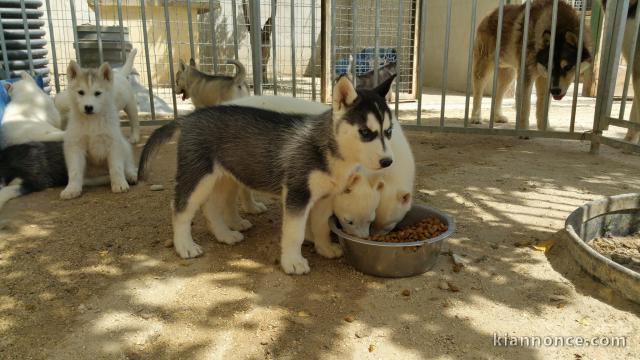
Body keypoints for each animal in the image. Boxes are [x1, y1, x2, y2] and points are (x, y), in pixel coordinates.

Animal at [60, 59, 138, 200]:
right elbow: (74, 171)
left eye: (97, 93)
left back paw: (130, 175)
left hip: (125, 139)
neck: (92, 122)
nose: (88, 107)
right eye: (81, 92)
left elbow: (116, 167)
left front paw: (119, 184)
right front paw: (72, 189)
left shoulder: (113, 143)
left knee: (128, 163)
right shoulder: (75, 146)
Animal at [139, 75, 396, 272]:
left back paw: (224, 234)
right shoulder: (297, 195)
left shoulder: (325, 196)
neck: (329, 150)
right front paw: (292, 263)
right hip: (197, 175)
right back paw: (185, 246)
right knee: (180, 208)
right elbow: (295, 233)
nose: (388, 161)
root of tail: (188, 117)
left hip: (223, 177)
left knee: (211, 206)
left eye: (388, 131)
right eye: (365, 132)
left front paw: (324, 249)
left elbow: (322, 225)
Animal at [470, 0, 592, 129]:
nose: (555, 91)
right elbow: (525, 109)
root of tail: (491, 13)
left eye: (568, 67)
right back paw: (475, 118)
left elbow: (542, 109)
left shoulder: (545, 81)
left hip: (509, 77)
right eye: (549, 66)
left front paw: (545, 129)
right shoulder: (526, 78)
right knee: (478, 93)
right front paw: (523, 130)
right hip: (483, 70)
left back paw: (497, 116)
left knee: (498, 95)